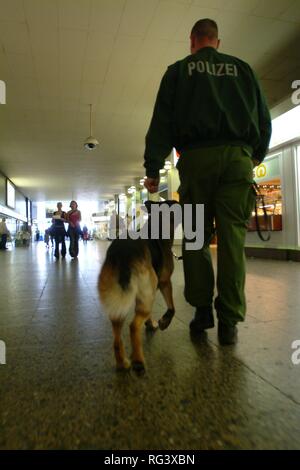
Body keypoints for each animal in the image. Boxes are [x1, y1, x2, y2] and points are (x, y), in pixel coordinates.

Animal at [98, 201, 178, 374]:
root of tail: (122, 254)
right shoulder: (164, 282)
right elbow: (172, 308)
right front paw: (163, 322)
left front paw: (151, 324)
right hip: (147, 291)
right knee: (133, 326)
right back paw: (138, 362)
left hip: (118, 300)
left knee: (117, 334)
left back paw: (123, 363)